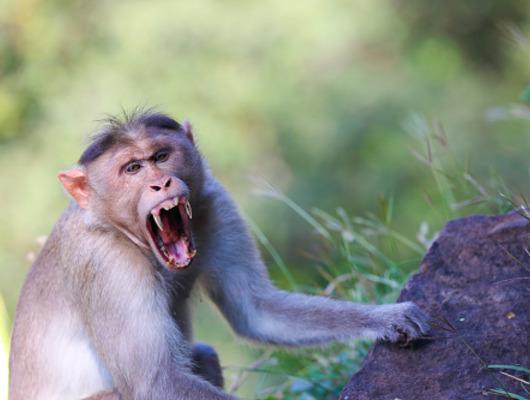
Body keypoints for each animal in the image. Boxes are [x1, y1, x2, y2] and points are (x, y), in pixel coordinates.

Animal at [8, 110, 428, 400]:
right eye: (132, 168)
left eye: (161, 156)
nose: (160, 183)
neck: (119, 230)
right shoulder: (107, 263)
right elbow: (155, 382)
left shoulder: (216, 204)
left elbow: (254, 310)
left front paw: (385, 317)